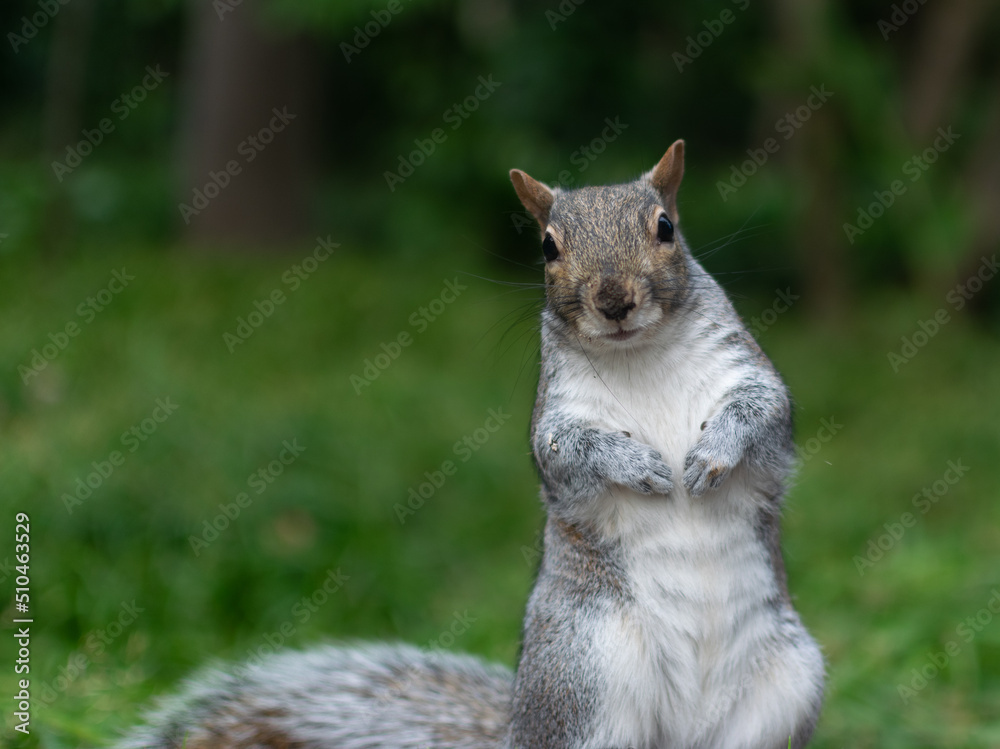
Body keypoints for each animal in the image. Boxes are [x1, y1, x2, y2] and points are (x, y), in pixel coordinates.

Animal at [119, 141, 824, 749]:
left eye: (665, 228)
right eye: (548, 246)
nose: (614, 300)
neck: (639, 354)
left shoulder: (754, 378)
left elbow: (763, 413)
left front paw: (711, 454)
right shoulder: (554, 422)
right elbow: (570, 452)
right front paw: (639, 465)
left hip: (787, 689)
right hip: (584, 682)